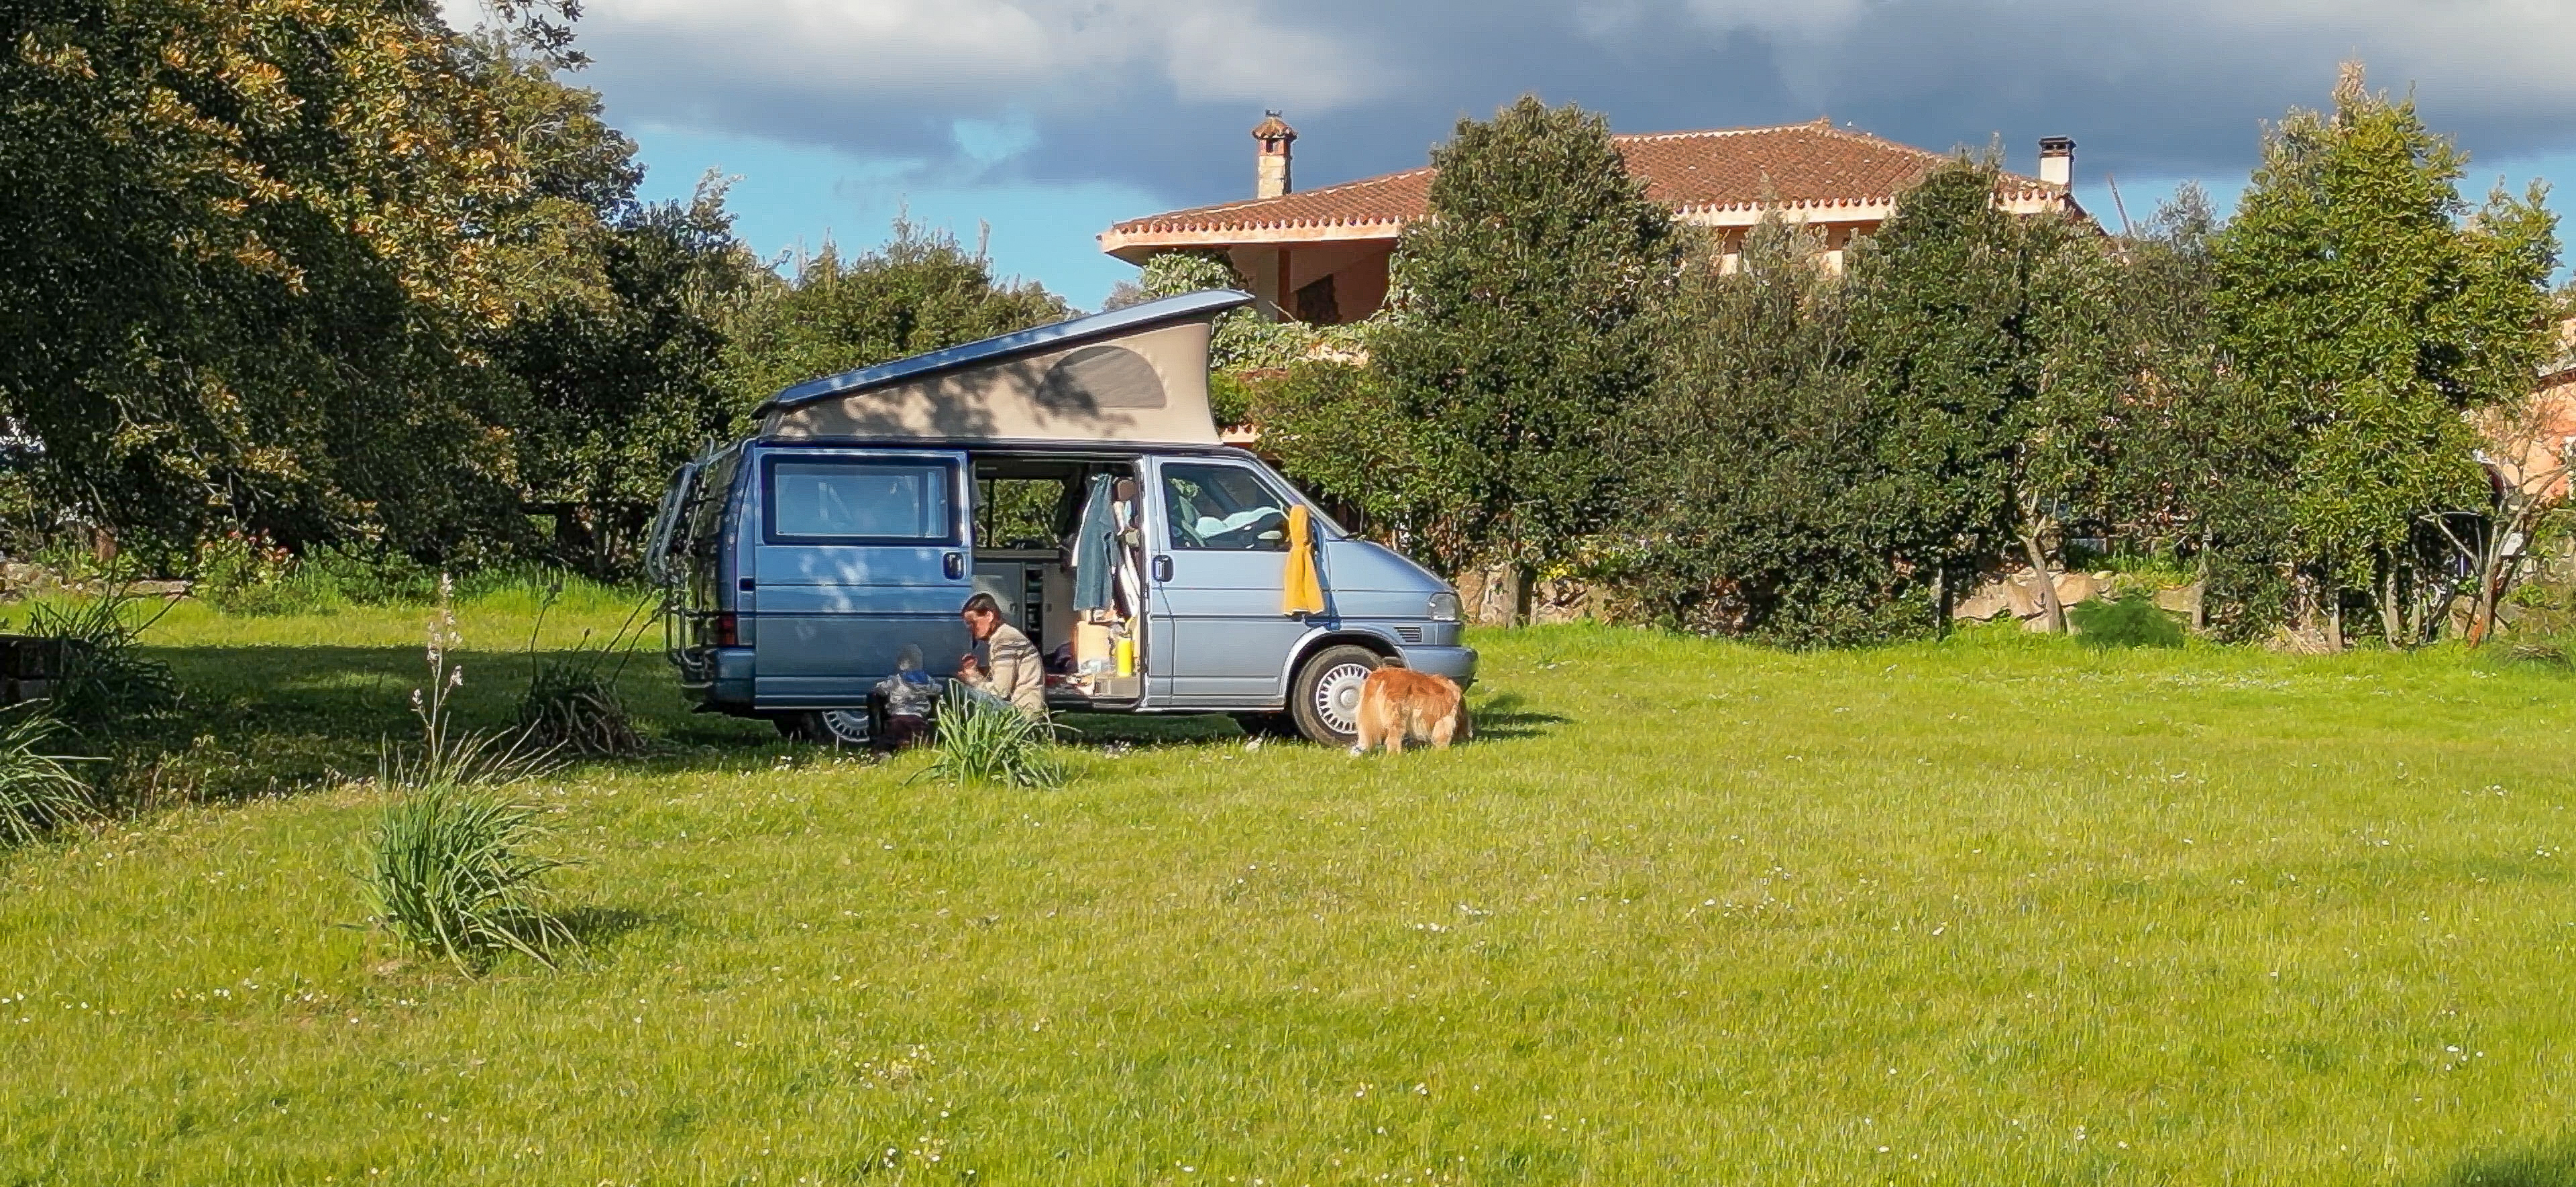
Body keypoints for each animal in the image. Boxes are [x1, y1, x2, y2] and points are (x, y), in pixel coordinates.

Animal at [1350, 659, 1473, 752]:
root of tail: (1380, 674)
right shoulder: (1445, 719)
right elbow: (1443, 736)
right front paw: (1442, 751)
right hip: (1398, 717)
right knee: (1393, 739)